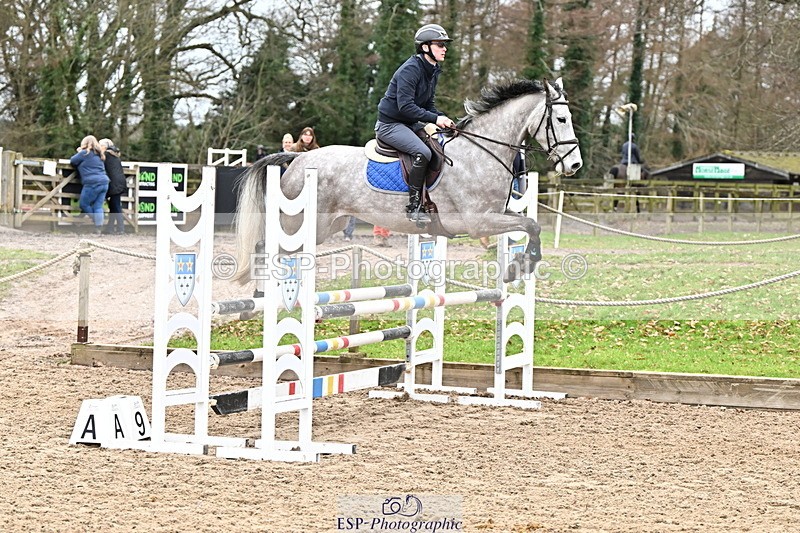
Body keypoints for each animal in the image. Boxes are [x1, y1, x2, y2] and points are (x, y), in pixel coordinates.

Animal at [234, 77, 583, 283]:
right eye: (561, 119)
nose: (575, 164)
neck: (481, 151)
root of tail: (298, 160)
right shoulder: (478, 222)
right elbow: (530, 225)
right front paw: (521, 265)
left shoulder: (496, 214)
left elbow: (531, 225)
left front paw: (520, 265)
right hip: (301, 222)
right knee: (266, 246)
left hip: (325, 226)